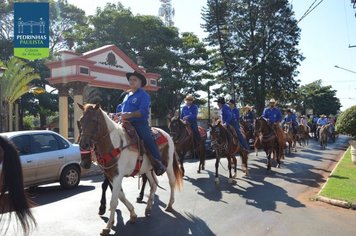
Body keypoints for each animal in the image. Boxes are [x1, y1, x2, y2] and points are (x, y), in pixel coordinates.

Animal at [78, 104, 184, 235]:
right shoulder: (110, 175)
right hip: (148, 169)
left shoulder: (117, 175)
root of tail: (167, 134)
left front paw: (107, 226)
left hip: (168, 165)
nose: (83, 144)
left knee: (171, 182)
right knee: (154, 184)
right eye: (81, 120)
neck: (114, 144)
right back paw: (148, 208)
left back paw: (169, 205)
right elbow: (120, 196)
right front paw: (132, 214)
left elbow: (114, 200)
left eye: (93, 120)